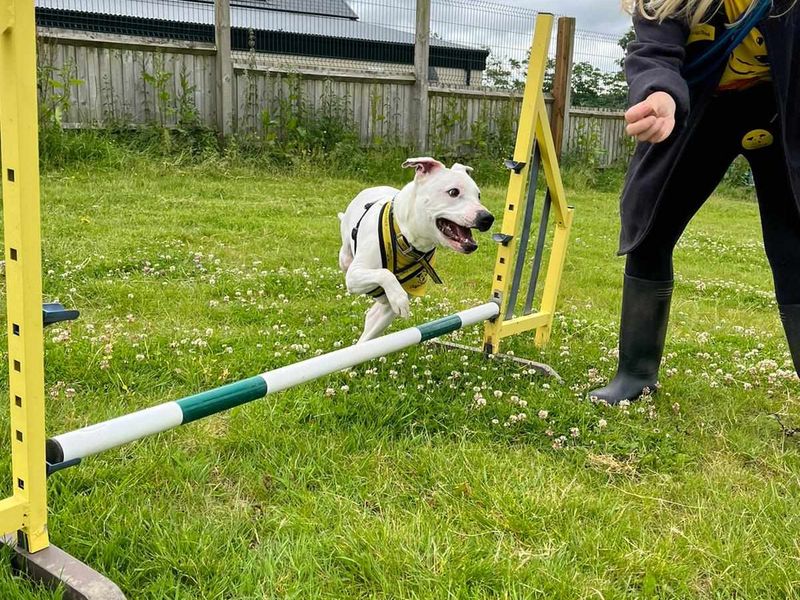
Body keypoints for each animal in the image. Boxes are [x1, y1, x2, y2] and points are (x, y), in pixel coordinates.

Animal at [338, 157, 494, 342]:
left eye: (479, 195)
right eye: (453, 192)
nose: (487, 218)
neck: (407, 240)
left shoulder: (395, 303)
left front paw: (396, 299)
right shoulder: (354, 276)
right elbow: (385, 273)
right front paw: (398, 298)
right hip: (346, 258)